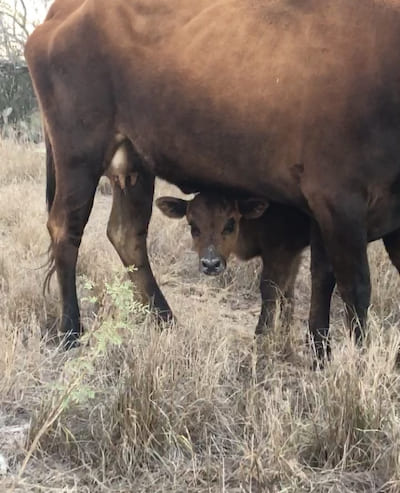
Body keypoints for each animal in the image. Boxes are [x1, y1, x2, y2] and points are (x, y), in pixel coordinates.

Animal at [155, 194, 310, 332]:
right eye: (193, 226)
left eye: (230, 224)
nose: (211, 264)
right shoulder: (294, 255)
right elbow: (288, 293)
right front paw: (285, 336)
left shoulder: (281, 251)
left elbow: (270, 290)